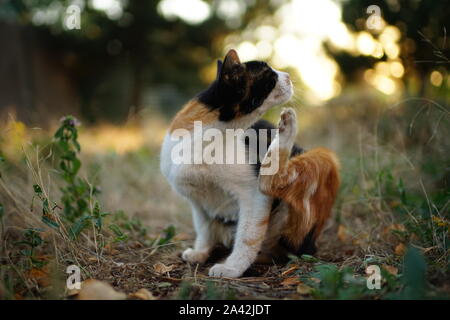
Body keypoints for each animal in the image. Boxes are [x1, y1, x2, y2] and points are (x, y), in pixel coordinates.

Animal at [160, 49, 340, 278]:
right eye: (269, 75)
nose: (289, 76)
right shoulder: (197, 201)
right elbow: (204, 228)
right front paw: (200, 252)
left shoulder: (252, 195)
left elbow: (248, 236)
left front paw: (232, 268)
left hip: (320, 158)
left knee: (273, 185)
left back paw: (287, 127)